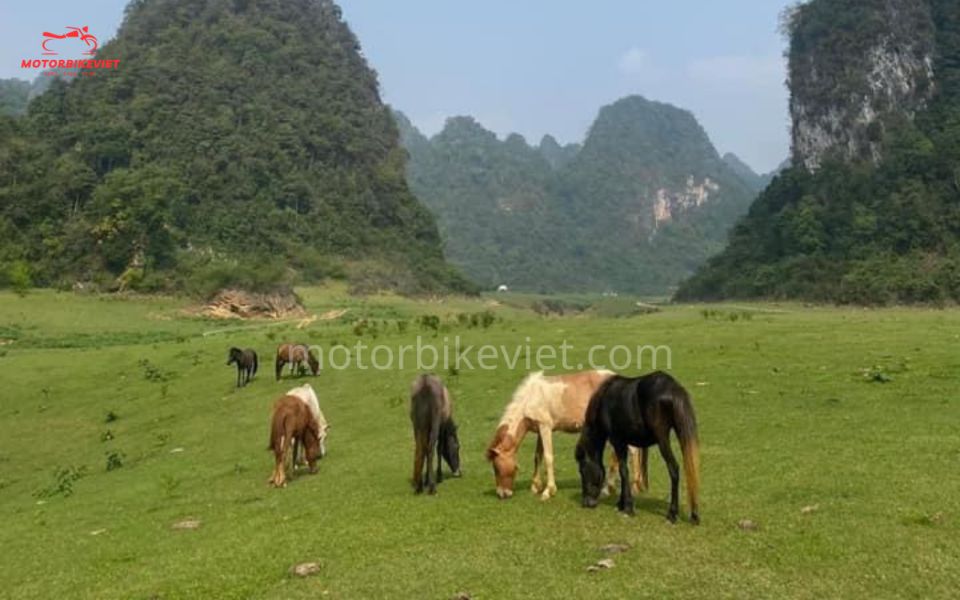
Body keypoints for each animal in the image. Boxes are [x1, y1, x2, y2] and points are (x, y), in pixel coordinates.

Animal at [484, 370, 648, 502]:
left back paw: (625, 488)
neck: (530, 398)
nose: (502, 494)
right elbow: (538, 456)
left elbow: (548, 458)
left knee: (632, 451)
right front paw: (536, 486)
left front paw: (548, 491)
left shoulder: (545, 427)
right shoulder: (540, 430)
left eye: (496, 468)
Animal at [572, 370, 700, 524]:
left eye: (582, 470)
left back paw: (672, 514)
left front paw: (627, 507)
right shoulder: (623, 442)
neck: (605, 400)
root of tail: (673, 388)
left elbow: (623, 471)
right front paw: (621, 504)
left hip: (662, 439)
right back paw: (694, 515)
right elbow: (622, 470)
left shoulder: (618, 441)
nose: (586, 503)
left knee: (673, 469)